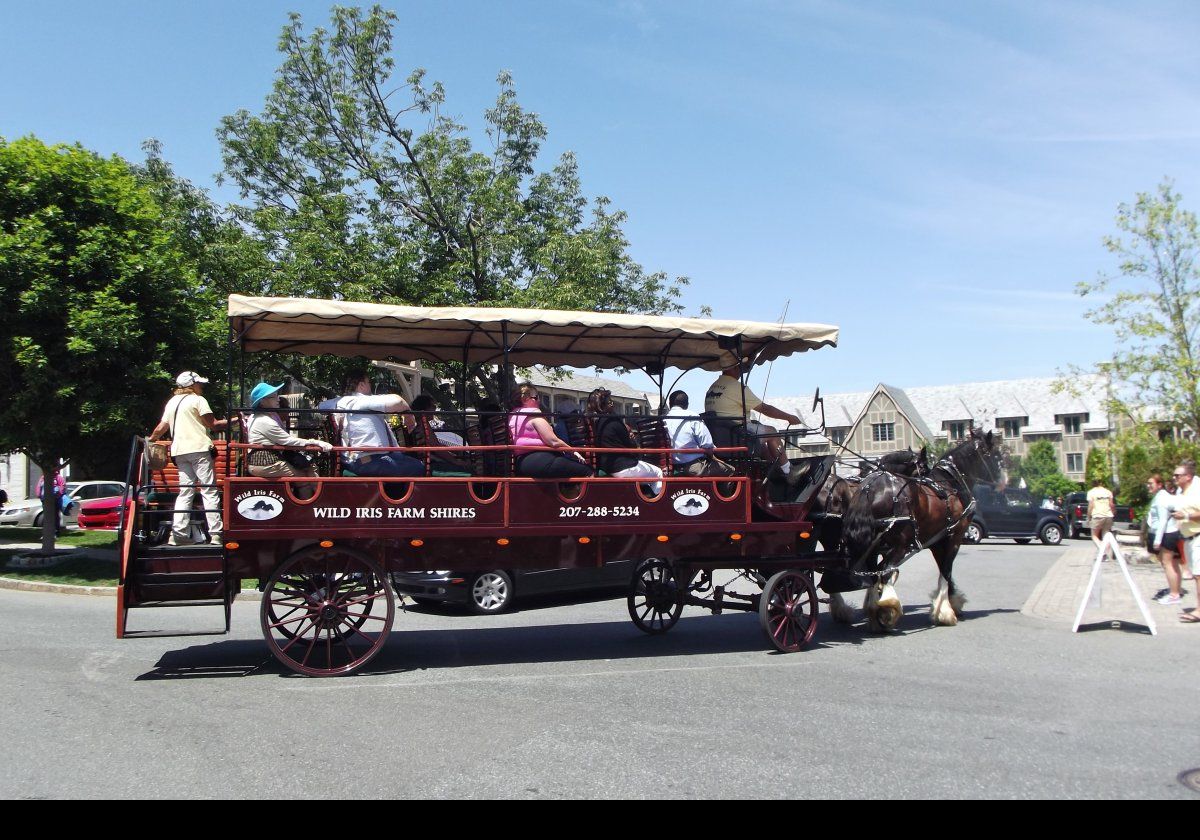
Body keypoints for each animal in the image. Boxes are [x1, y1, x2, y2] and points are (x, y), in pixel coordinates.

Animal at [835, 429, 1003, 633]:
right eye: (995, 455)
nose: (1002, 480)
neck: (951, 483)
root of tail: (868, 489)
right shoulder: (954, 537)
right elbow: (946, 571)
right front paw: (945, 612)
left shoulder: (937, 541)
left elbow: (944, 571)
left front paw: (953, 602)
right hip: (900, 544)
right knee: (885, 570)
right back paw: (888, 609)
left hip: (873, 545)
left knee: (874, 572)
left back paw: (873, 612)